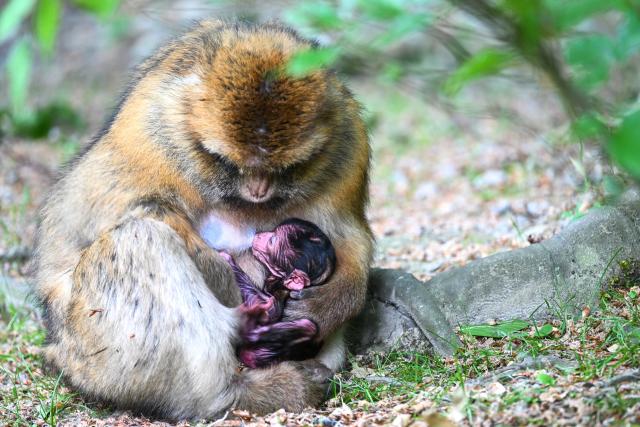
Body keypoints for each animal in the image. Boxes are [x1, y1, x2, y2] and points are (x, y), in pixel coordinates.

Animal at [220, 218, 337, 368]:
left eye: (272, 240)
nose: (259, 234)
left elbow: (270, 309)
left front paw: (225, 257)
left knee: (309, 326)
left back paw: (252, 332)